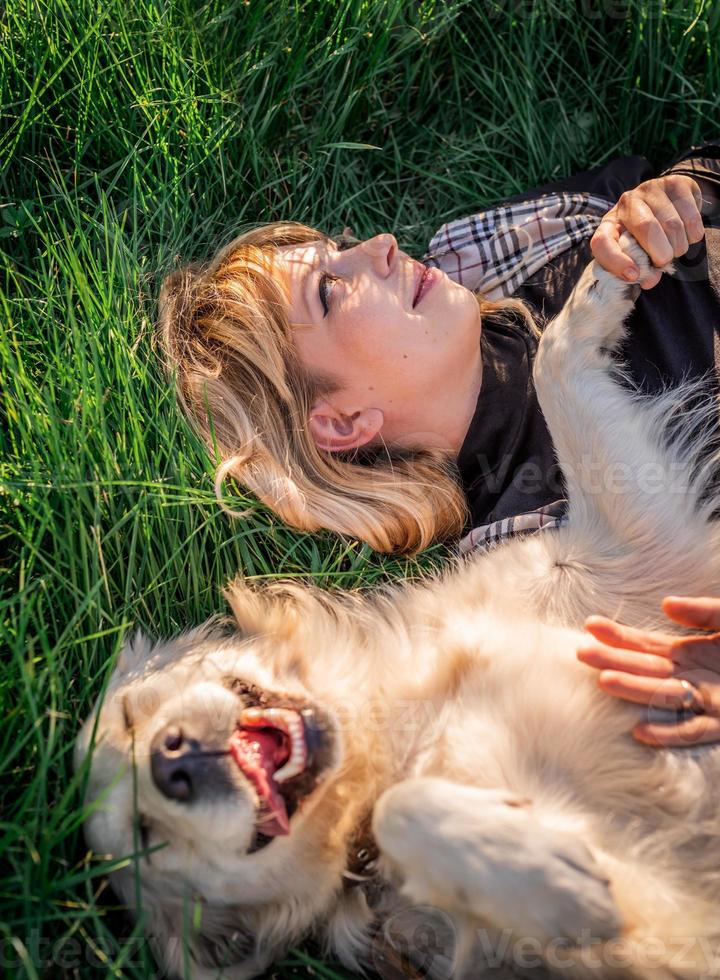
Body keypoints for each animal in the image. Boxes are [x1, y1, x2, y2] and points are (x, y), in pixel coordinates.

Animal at [74, 239, 720, 980]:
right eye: (145, 837)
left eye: (131, 713)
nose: (172, 761)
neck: (397, 728)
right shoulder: (659, 923)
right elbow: (396, 810)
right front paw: (544, 876)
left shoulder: (614, 548)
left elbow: (553, 359)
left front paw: (611, 272)